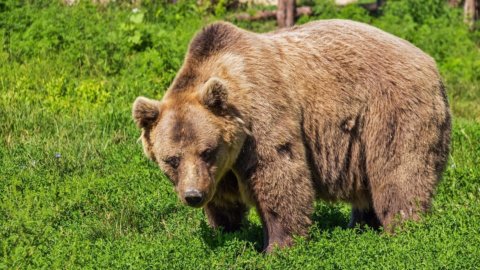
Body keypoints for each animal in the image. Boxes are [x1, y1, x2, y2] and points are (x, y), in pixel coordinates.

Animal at [131, 20, 450, 252]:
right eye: (171, 159)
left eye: (207, 151)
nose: (193, 196)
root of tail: (430, 62)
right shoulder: (222, 169)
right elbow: (223, 200)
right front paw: (225, 231)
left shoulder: (263, 119)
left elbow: (280, 177)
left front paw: (278, 246)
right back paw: (361, 226)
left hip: (391, 111)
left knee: (399, 172)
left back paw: (403, 230)